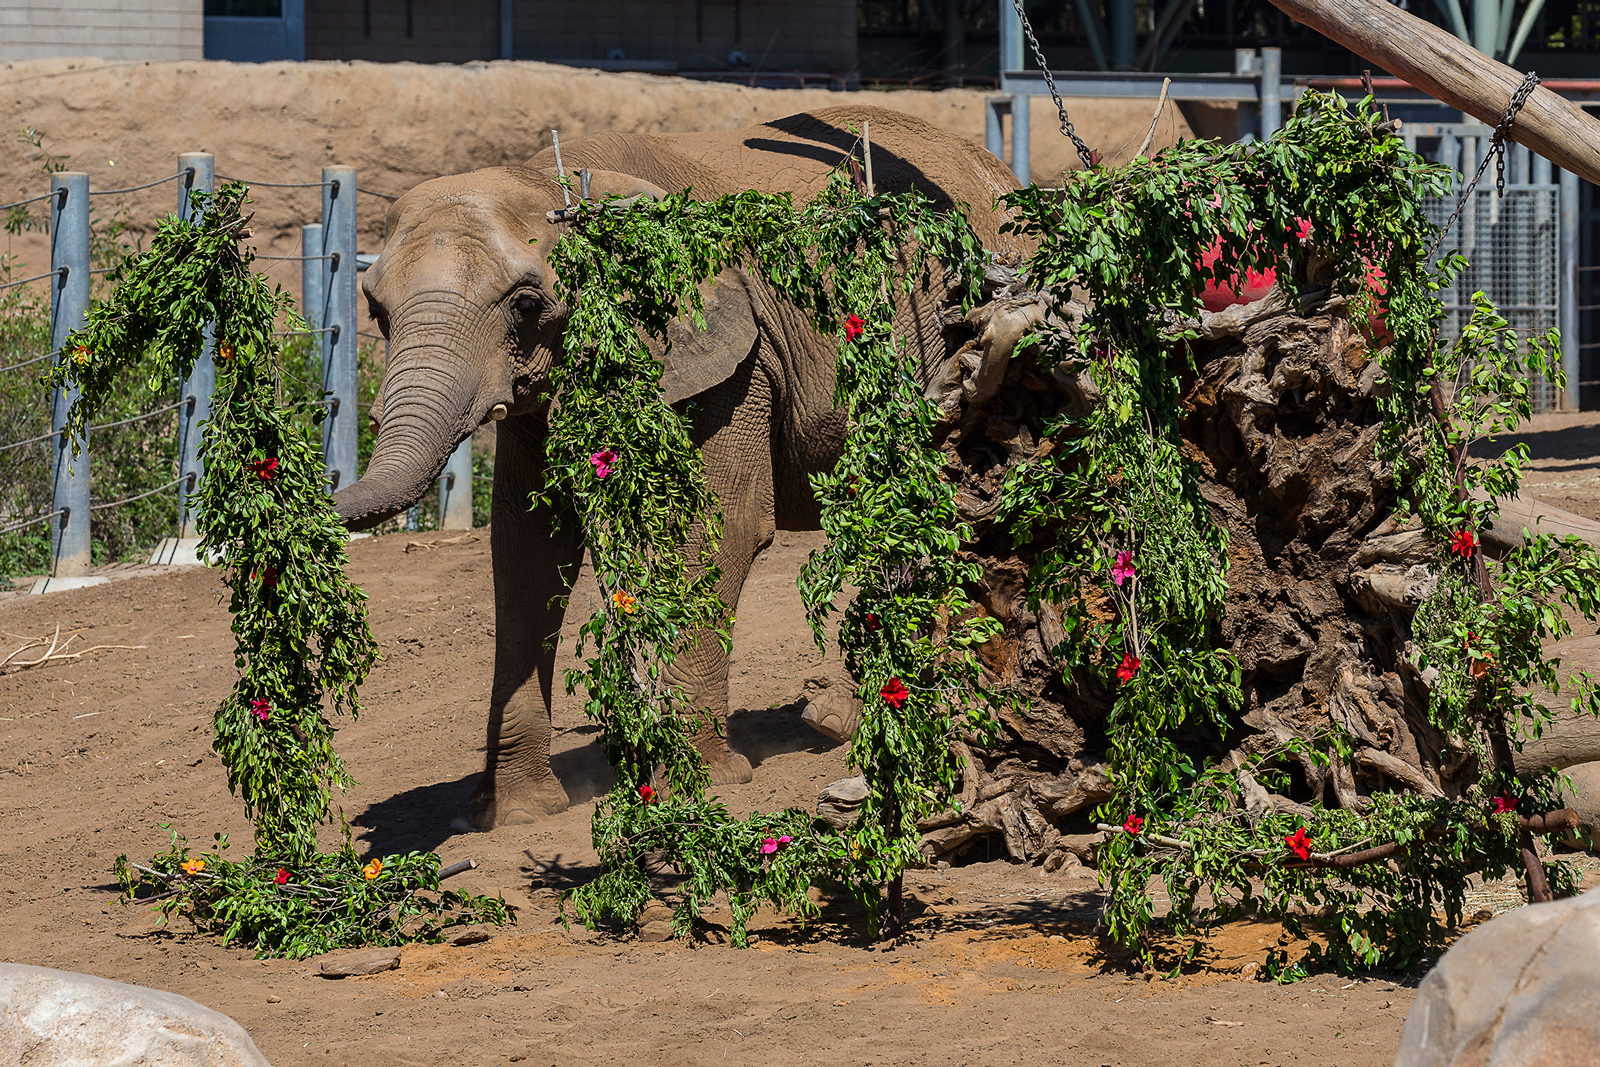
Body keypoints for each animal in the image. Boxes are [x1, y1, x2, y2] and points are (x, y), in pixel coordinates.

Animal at [336, 103, 1024, 831]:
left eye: (525, 303)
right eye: (376, 310)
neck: (558, 180)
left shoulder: (734, 361)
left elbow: (714, 530)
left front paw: (699, 784)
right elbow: (529, 550)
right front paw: (516, 815)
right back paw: (846, 715)